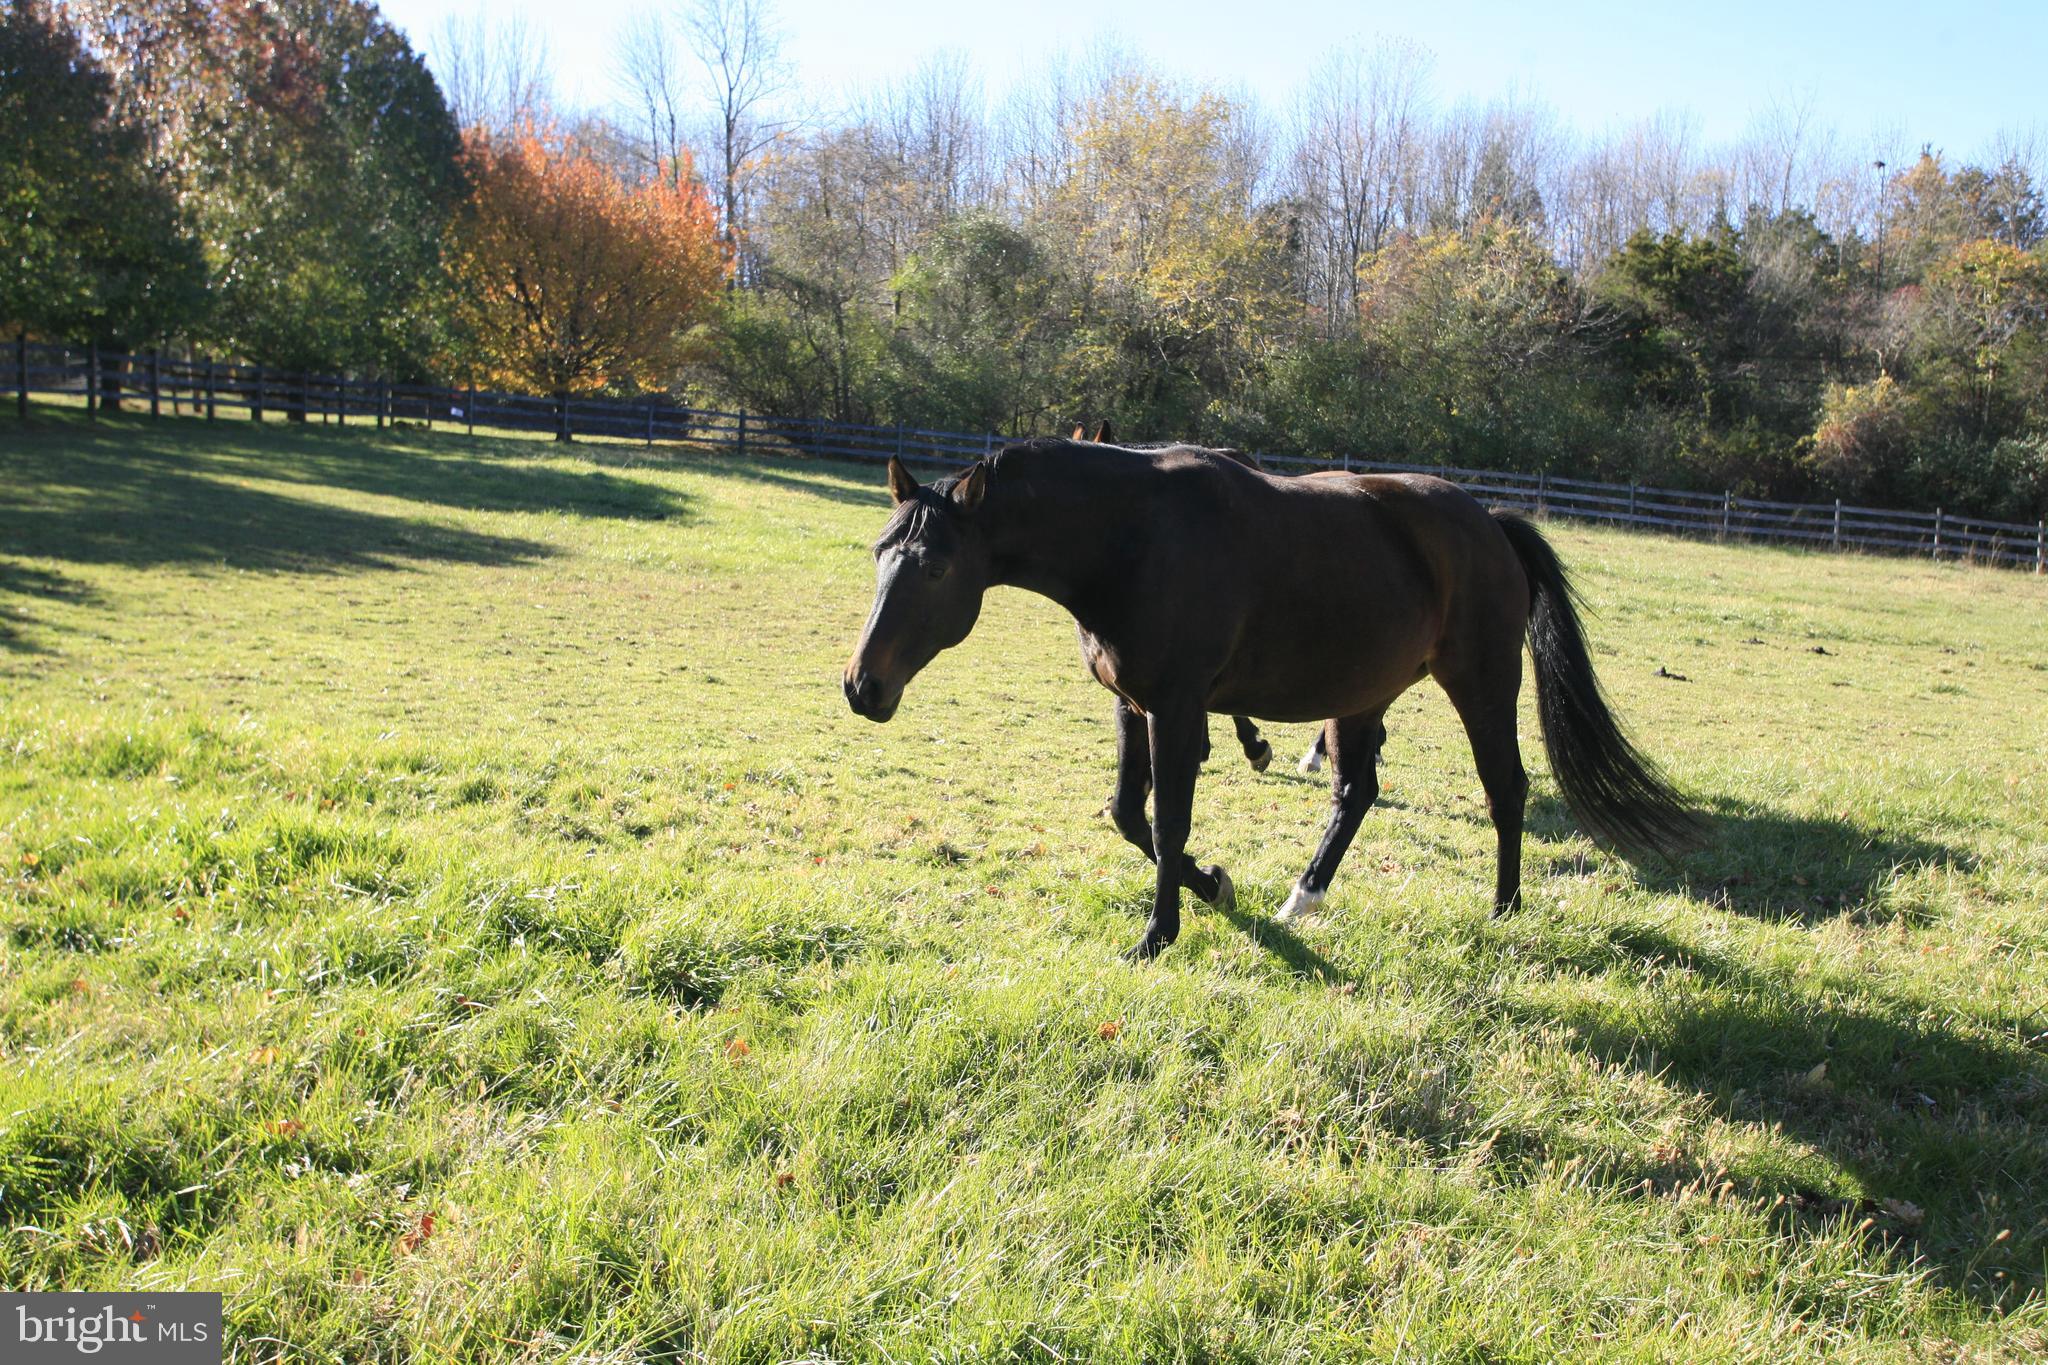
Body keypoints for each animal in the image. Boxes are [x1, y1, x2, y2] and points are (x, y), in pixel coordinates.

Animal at [843, 438, 1705, 960]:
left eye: (936, 568)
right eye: (880, 552)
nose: (862, 686)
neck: (1132, 539)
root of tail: (1490, 522)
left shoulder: (1177, 708)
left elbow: (1168, 819)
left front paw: (1159, 933)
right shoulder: (1133, 706)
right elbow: (1127, 814)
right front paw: (1215, 885)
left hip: (1482, 684)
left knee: (1506, 788)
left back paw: (1503, 907)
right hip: (1360, 695)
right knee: (1356, 791)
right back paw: (1305, 897)